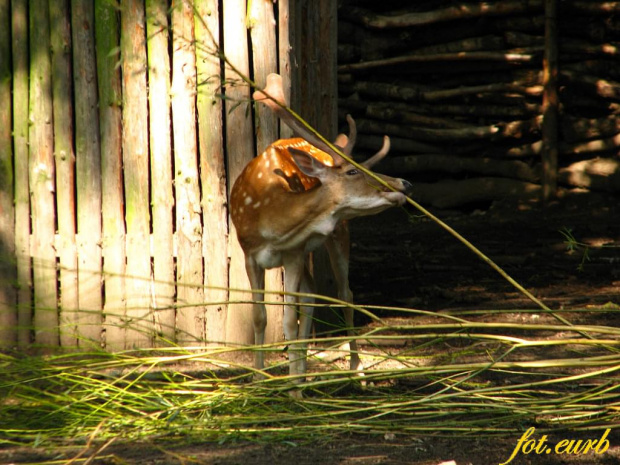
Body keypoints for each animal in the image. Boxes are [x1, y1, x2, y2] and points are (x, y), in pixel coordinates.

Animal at [230, 73, 414, 380]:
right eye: (352, 171)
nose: (404, 183)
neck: (271, 225)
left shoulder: (293, 251)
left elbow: (289, 320)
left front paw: (292, 386)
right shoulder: (249, 253)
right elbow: (259, 316)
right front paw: (260, 377)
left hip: (339, 231)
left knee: (344, 294)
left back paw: (356, 370)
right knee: (312, 291)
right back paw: (306, 371)